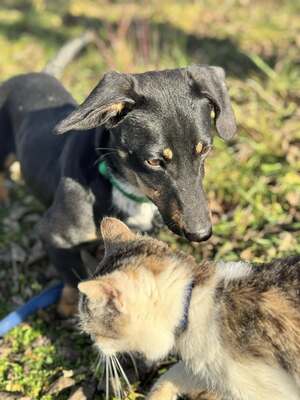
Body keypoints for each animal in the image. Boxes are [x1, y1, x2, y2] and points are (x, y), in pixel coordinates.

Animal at [0, 65, 237, 314]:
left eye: (205, 150)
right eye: (153, 161)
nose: (201, 234)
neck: (125, 188)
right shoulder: (52, 235)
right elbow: (75, 278)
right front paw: (70, 306)